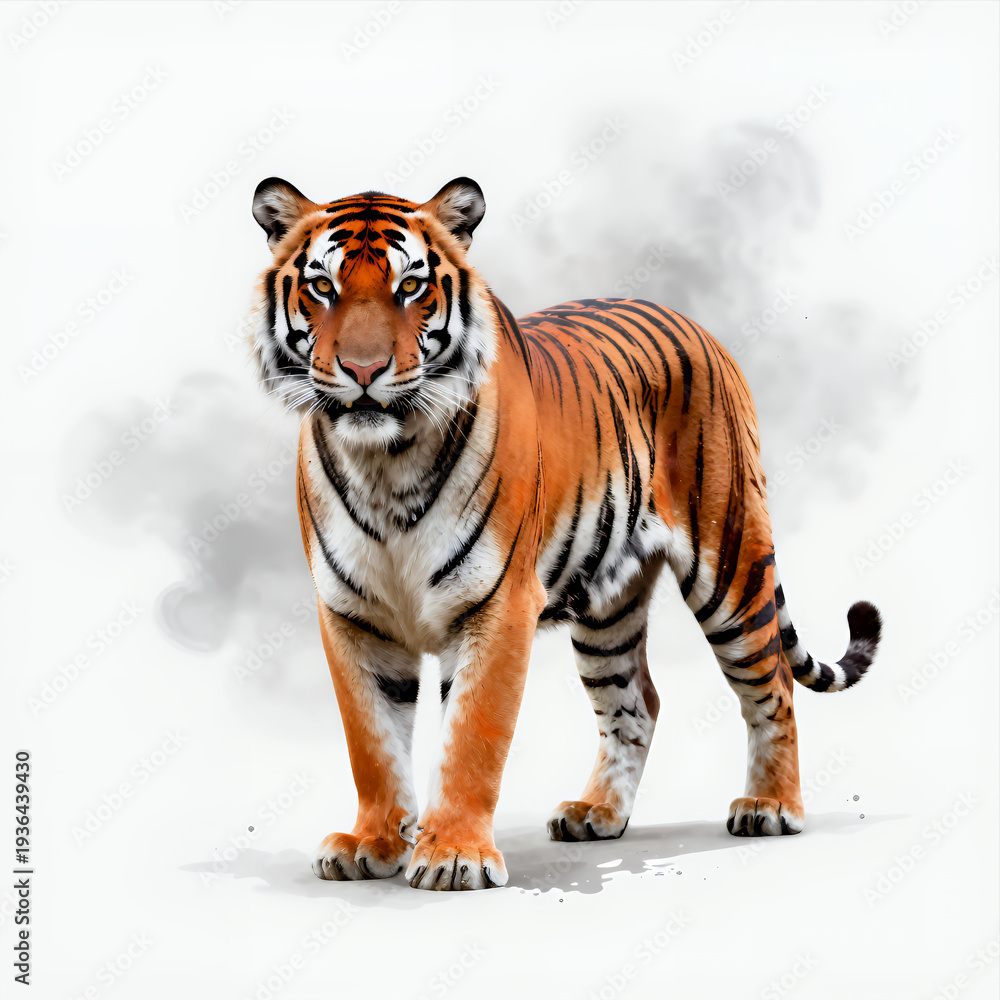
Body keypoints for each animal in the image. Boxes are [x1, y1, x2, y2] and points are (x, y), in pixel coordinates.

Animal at [248, 175, 882, 892]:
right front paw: (372, 843)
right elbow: (371, 742)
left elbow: (473, 735)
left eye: (410, 286)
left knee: (772, 683)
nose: (363, 370)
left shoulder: (497, 604)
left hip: (732, 565)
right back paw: (597, 813)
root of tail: (697, 326)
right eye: (322, 288)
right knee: (637, 702)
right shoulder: (351, 615)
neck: (386, 463)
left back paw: (771, 806)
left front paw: (454, 854)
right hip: (607, 608)